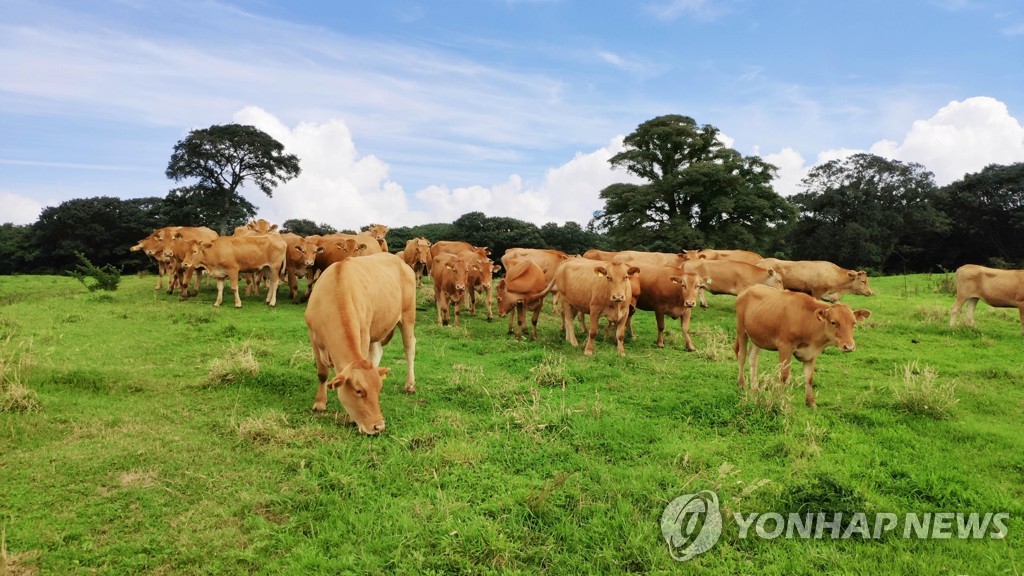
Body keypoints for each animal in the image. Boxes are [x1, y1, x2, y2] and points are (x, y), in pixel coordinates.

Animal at [303, 252, 415, 434]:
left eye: (378, 390)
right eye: (358, 390)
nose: (379, 426)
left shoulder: (363, 333)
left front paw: (350, 418)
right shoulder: (313, 338)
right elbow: (322, 373)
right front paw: (320, 403)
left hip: (407, 317)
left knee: (409, 349)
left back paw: (410, 385)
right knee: (377, 352)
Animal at [737, 284, 872, 405]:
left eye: (853, 323)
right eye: (833, 322)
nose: (849, 346)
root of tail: (749, 288)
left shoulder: (812, 353)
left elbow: (809, 377)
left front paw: (811, 403)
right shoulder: (784, 346)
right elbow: (784, 376)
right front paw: (781, 400)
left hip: (758, 337)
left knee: (753, 358)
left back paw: (754, 388)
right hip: (742, 331)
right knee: (742, 357)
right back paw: (741, 384)